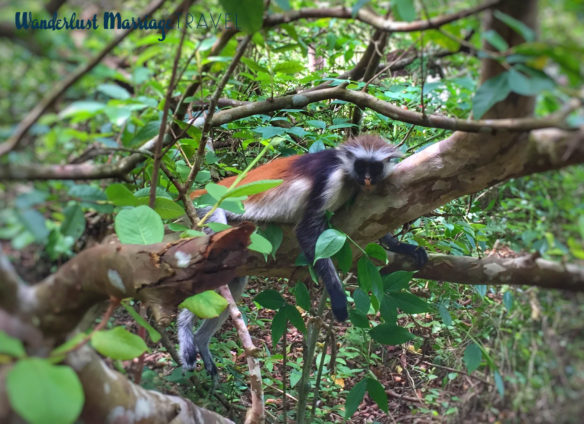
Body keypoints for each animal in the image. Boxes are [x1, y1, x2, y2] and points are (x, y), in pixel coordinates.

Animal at [179, 135, 428, 374]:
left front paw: (406, 248)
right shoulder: (331, 178)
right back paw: (184, 330)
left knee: (234, 280)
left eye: (374, 168)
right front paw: (338, 297)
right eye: (361, 165)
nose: (367, 178)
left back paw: (200, 341)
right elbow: (306, 230)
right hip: (207, 213)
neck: (347, 172)